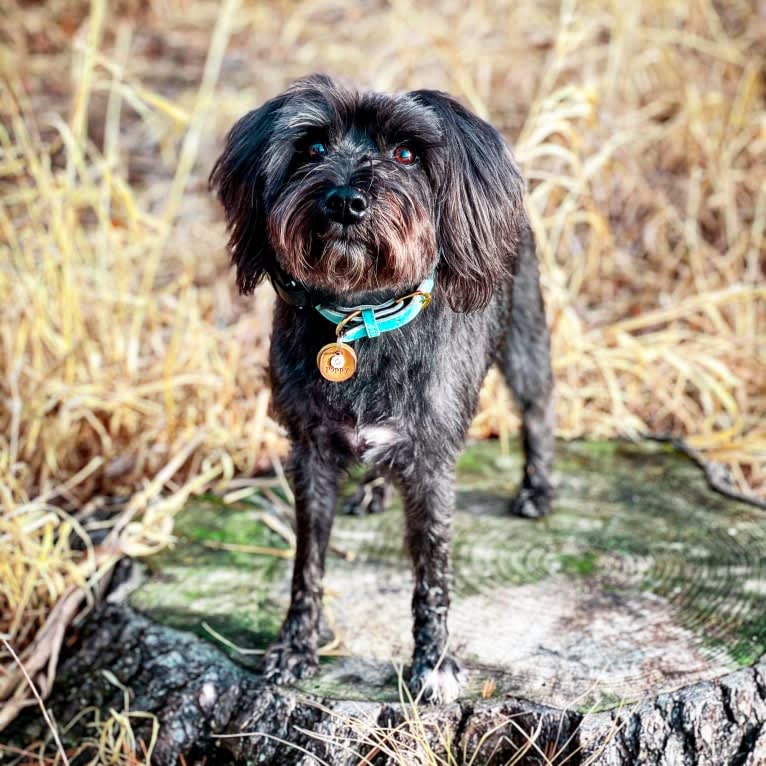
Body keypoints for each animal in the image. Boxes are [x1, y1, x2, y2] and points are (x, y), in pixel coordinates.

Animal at [213, 75, 556, 704]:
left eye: (405, 154)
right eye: (312, 147)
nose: (345, 201)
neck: (361, 318)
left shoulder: (430, 464)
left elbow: (433, 572)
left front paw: (434, 662)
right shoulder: (310, 454)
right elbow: (307, 562)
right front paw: (295, 646)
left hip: (525, 328)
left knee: (540, 405)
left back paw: (537, 489)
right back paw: (372, 489)